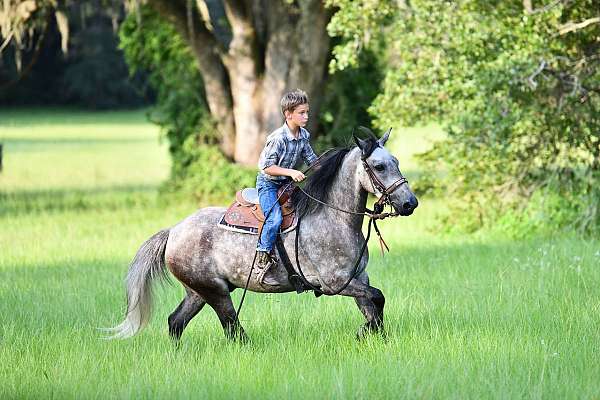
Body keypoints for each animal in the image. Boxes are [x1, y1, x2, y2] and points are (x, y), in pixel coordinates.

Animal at [108, 130, 418, 340]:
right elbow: (377, 298)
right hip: (215, 291)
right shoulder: (335, 282)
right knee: (232, 329)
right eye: (379, 166)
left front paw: (373, 336)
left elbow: (372, 305)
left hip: (198, 291)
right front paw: (366, 333)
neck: (334, 218)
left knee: (176, 322)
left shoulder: (357, 278)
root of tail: (173, 231)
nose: (409, 203)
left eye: (396, 161)